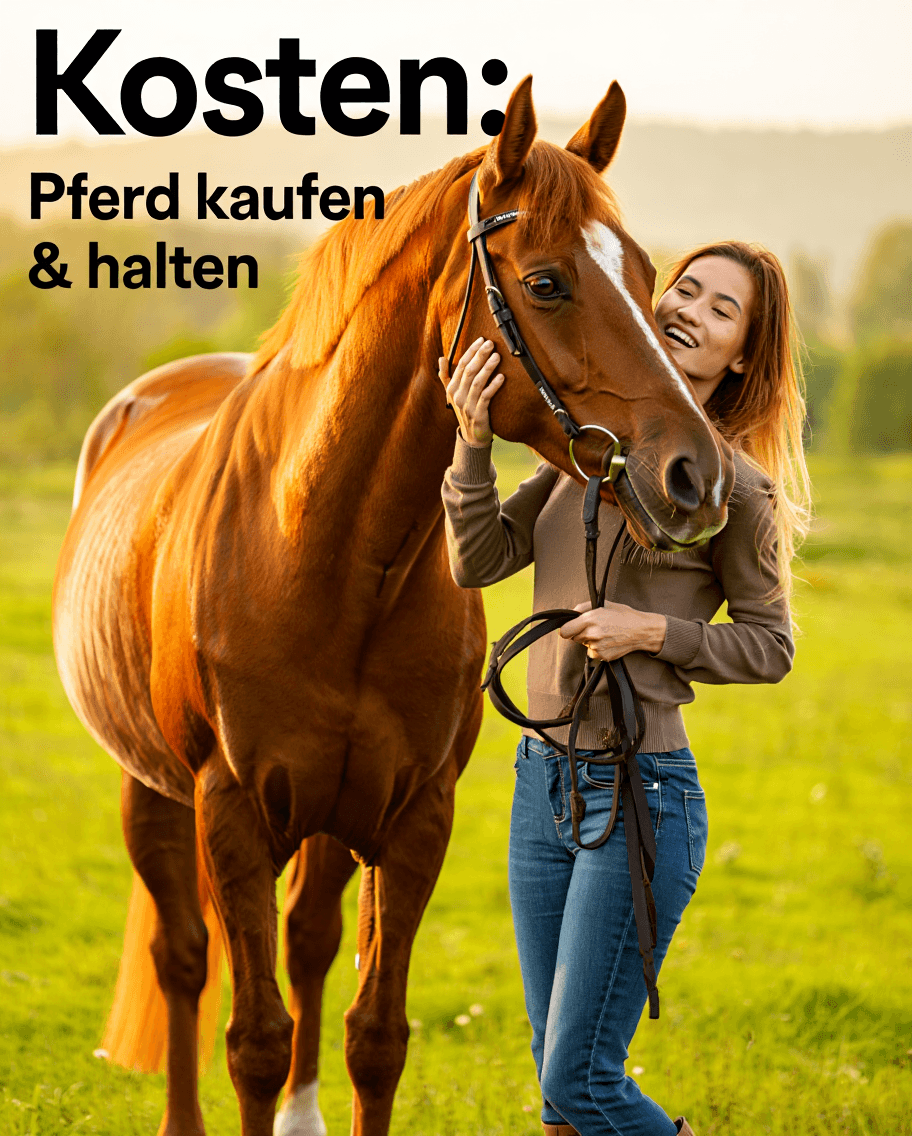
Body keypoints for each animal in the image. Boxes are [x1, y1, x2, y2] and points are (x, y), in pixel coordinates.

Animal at [53, 77, 734, 1136]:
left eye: (652, 276)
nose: (695, 476)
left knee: (309, 940)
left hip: (332, 818)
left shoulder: (413, 819)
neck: (329, 557)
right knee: (183, 958)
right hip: (152, 792)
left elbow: (375, 1037)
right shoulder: (231, 816)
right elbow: (252, 1040)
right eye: (547, 283)